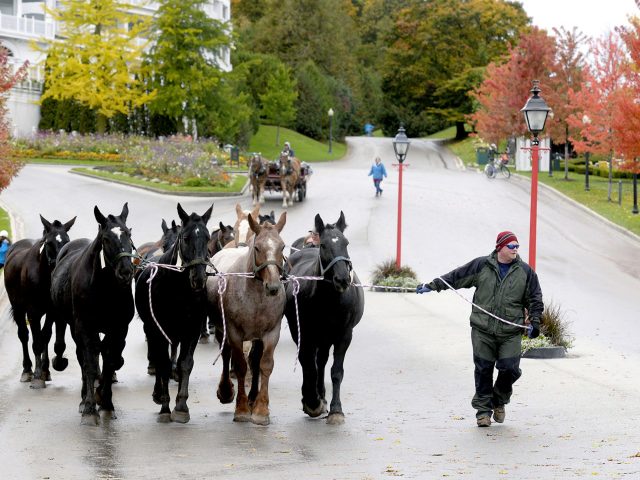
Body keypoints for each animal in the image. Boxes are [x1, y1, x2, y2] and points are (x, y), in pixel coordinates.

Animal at [2, 216, 76, 388]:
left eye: (67, 240)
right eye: (49, 243)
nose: (60, 261)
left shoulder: (52, 311)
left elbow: (45, 336)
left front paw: (45, 370)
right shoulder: (33, 312)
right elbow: (36, 341)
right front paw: (36, 376)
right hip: (18, 308)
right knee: (23, 335)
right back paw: (27, 370)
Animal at [50, 202, 135, 424]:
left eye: (129, 233)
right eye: (106, 239)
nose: (126, 271)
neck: (105, 288)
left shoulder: (119, 328)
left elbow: (109, 360)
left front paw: (106, 403)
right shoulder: (85, 327)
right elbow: (88, 362)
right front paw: (89, 408)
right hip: (75, 327)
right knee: (83, 356)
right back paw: (84, 398)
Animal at [135, 202, 212, 424]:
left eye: (207, 238)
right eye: (185, 238)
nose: (199, 278)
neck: (179, 290)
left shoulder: (191, 330)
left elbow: (185, 364)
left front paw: (181, 407)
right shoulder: (159, 329)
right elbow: (163, 363)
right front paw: (164, 405)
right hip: (152, 328)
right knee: (158, 356)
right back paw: (157, 392)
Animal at [208, 210, 288, 424]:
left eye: (282, 246)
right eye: (258, 247)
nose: (273, 287)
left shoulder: (271, 332)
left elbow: (265, 365)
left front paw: (261, 409)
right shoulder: (235, 332)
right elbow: (240, 365)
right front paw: (242, 408)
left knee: (254, 360)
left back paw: (253, 398)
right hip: (222, 327)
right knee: (226, 354)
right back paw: (226, 391)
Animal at [282, 211, 362, 424]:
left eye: (346, 243)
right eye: (325, 245)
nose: (342, 279)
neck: (329, 300)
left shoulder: (344, 335)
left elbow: (336, 371)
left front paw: (335, 410)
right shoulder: (304, 334)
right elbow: (309, 366)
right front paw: (312, 402)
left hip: (326, 337)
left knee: (322, 361)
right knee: (312, 362)